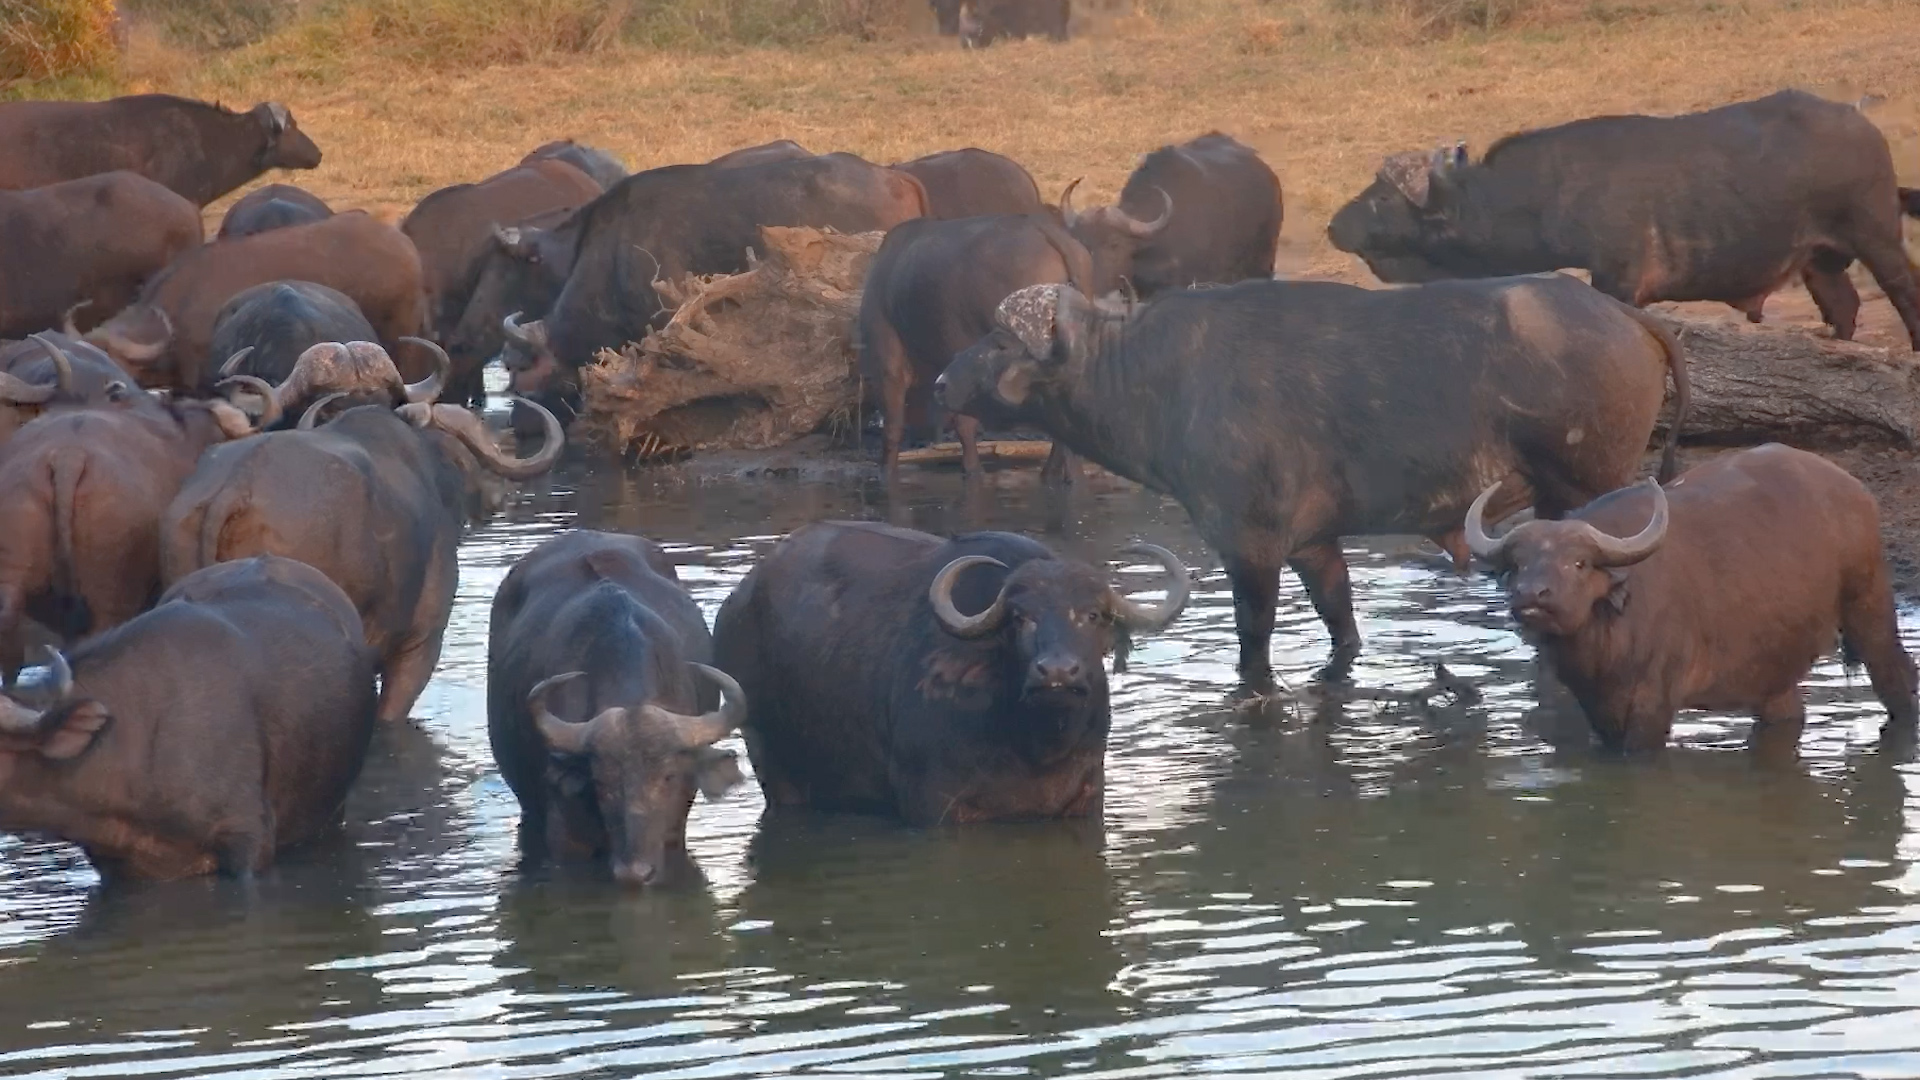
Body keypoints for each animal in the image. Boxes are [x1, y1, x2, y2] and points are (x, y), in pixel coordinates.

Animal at [712, 522, 1188, 823]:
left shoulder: (1085, 798)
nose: (1056, 671)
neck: (1033, 745)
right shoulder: (934, 806)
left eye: (1093, 615)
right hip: (771, 763)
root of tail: (738, 602)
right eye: (1020, 618)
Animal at [933, 274, 1691, 686]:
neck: (1158, 378)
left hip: (1587, 486)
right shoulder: (1313, 547)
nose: (941, 381)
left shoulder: (1251, 548)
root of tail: (1622, 313)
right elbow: (1342, 628)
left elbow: (1252, 643)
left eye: (999, 342)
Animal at [1327, 91, 1920, 350]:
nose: (1335, 225)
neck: (1544, 193)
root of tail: (1857, 118)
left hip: (1877, 237)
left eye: (1381, 197)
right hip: (1820, 262)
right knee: (1844, 307)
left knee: (1904, 291)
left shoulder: (1620, 281)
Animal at [1464, 444, 1918, 752]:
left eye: (1579, 563)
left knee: (1897, 676)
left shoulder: (1651, 707)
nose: (1531, 595)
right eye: (1518, 565)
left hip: (1870, 604)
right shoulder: (1599, 711)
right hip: (1776, 667)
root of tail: (1857, 493)